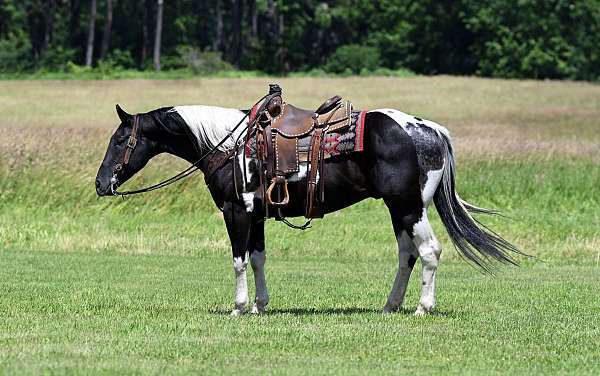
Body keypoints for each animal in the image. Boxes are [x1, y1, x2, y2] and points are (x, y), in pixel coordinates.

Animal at [94, 102, 520, 314]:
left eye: (119, 140)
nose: (101, 184)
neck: (230, 145)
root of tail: (429, 130)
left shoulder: (236, 211)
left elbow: (238, 260)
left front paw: (239, 307)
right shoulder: (257, 216)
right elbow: (259, 258)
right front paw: (260, 306)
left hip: (408, 205)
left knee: (429, 251)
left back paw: (422, 307)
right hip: (399, 209)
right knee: (407, 254)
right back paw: (390, 305)